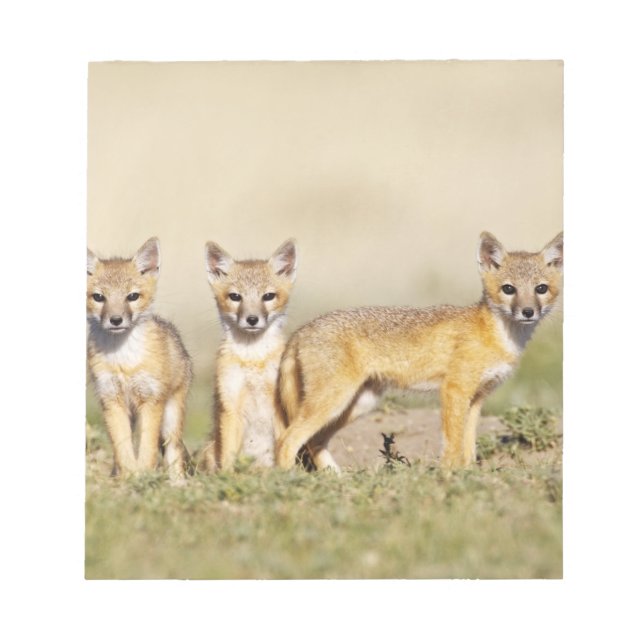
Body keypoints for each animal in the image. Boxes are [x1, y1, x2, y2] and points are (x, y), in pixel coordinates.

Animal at [86, 237, 193, 481]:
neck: (123, 360)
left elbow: (147, 448)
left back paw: (177, 483)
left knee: (173, 450)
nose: (116, 320)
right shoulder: (110, 400)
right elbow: (122, 447)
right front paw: (129, 475)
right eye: (99, 297)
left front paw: (143, 474)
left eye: (132, 296)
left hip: (171, 417)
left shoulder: (151, 400)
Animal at [200, 239, 297, 471]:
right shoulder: (230, 406)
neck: (254, 359)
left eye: (268, 296)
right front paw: (227, 477)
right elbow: (228, 456)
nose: (252, 319)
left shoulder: (278, 406)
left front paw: (286, 474)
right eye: (235, 297)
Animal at [275, 231, 563, 471]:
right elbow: (452, 444)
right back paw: (290, 480)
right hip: (333, 401)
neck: (496, 334)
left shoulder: (477, 398)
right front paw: (448, 475)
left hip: (357, 404)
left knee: (314, 442)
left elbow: (468, 446)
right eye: (508, 289)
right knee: (288, 440)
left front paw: (469, 474)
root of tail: (302, 329)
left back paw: (336, 479)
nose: (528, 312)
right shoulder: (454, 390)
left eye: (541, 289)